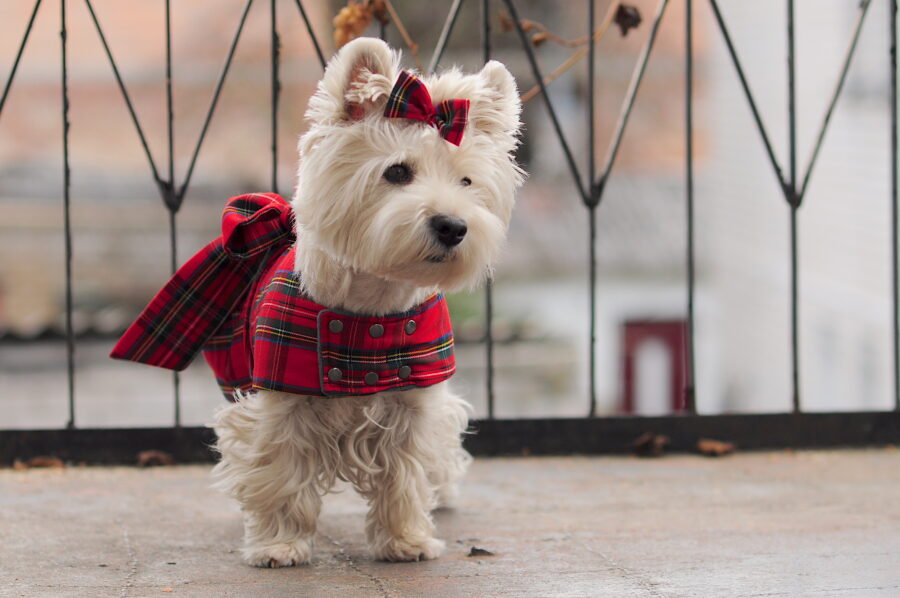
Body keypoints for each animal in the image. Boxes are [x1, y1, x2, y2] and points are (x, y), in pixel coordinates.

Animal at [113, 38, 524, 568]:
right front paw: (278, 545)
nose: (453, 226)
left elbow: (406, 473)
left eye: (467, 182)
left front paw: (407, 540)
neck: (370, 313)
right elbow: (281, 471)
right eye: (397, 171)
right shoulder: (281, 403)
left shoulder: (414, 400)